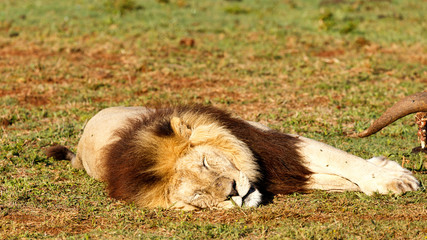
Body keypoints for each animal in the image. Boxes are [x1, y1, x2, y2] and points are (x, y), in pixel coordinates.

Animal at [45, 105, 420, 210]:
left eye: (205, 163)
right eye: (198, 196)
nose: (232, 192)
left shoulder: (267, 141)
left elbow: (338, 159)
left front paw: (393, 179)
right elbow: (332, 178)